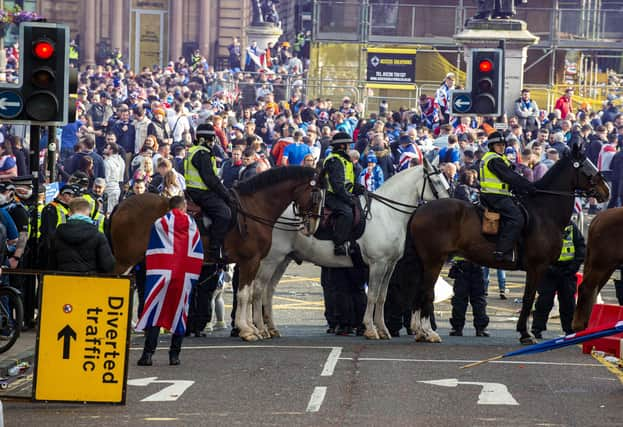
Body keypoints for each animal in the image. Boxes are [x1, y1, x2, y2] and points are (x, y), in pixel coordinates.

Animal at [110, 166, 324, 342]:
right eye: (317, 196)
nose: (312, 227)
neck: (254, 209)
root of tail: (122, 205)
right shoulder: (251, 261)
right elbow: (244, 294)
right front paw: (247, 330)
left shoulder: (250, 263)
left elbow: (247, 293)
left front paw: (252, 328)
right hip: (126, 259)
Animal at [246, 159, 450, 342]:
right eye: (436, 181)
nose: (449, 204)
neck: (387, 214)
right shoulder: (377, 264)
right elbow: (372, 296)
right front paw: (370, 330)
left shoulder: (390, 265)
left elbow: (382, 297)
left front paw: (383, 329)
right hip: (271, 259)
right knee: (258, 289)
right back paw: (260, 329)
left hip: (283, 260)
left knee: (268, 290)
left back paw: (271, 328)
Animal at [400, 145, 608, 346]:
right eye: (587, 168)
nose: (606, 191)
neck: (544, 212)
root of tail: (420, 209)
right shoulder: (537, 267)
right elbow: (528, 299)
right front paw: (525, 334)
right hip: (434, 261)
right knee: (426, 292)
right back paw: (428, 332)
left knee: (419, 292)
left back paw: (420, 331)